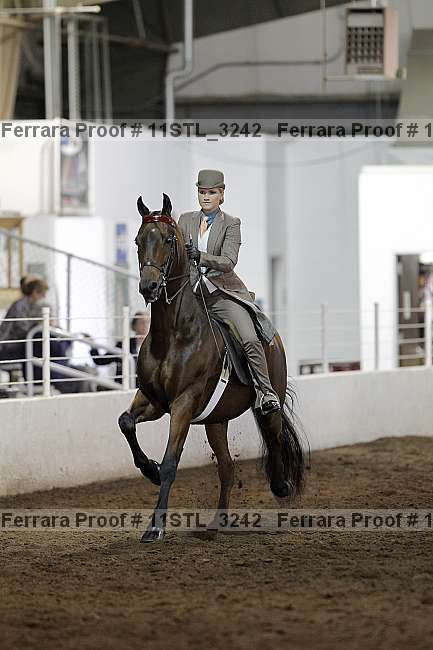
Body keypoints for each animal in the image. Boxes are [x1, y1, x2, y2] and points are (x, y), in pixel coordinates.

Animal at [118, 193, 305, 543]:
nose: (149, 287)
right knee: (227, 468)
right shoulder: (153, 400)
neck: (172, 334)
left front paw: (155, 527)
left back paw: (281, 486)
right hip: (215, 420)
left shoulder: (182, 404)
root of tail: (273, 338)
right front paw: (149, 470)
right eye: (138, 241)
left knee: (274, 435)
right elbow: (125, 423)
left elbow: (171, 462)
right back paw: (218, 521)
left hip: (267, 399)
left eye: (168, 240)